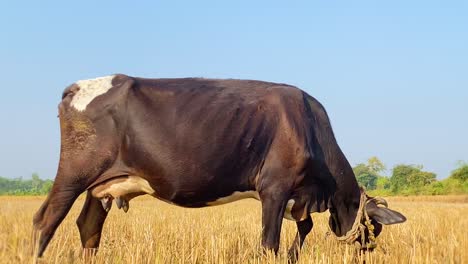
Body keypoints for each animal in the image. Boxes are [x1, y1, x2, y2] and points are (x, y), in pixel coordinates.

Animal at [33, 75, 406, 262]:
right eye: (375, 227)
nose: (368, 254)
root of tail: (77, 86)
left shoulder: (297, 197)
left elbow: (306, 227)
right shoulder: (274, 188)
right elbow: (269, 242)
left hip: (105, 184)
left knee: (89, 225)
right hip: (74, 173)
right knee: (46, 220)